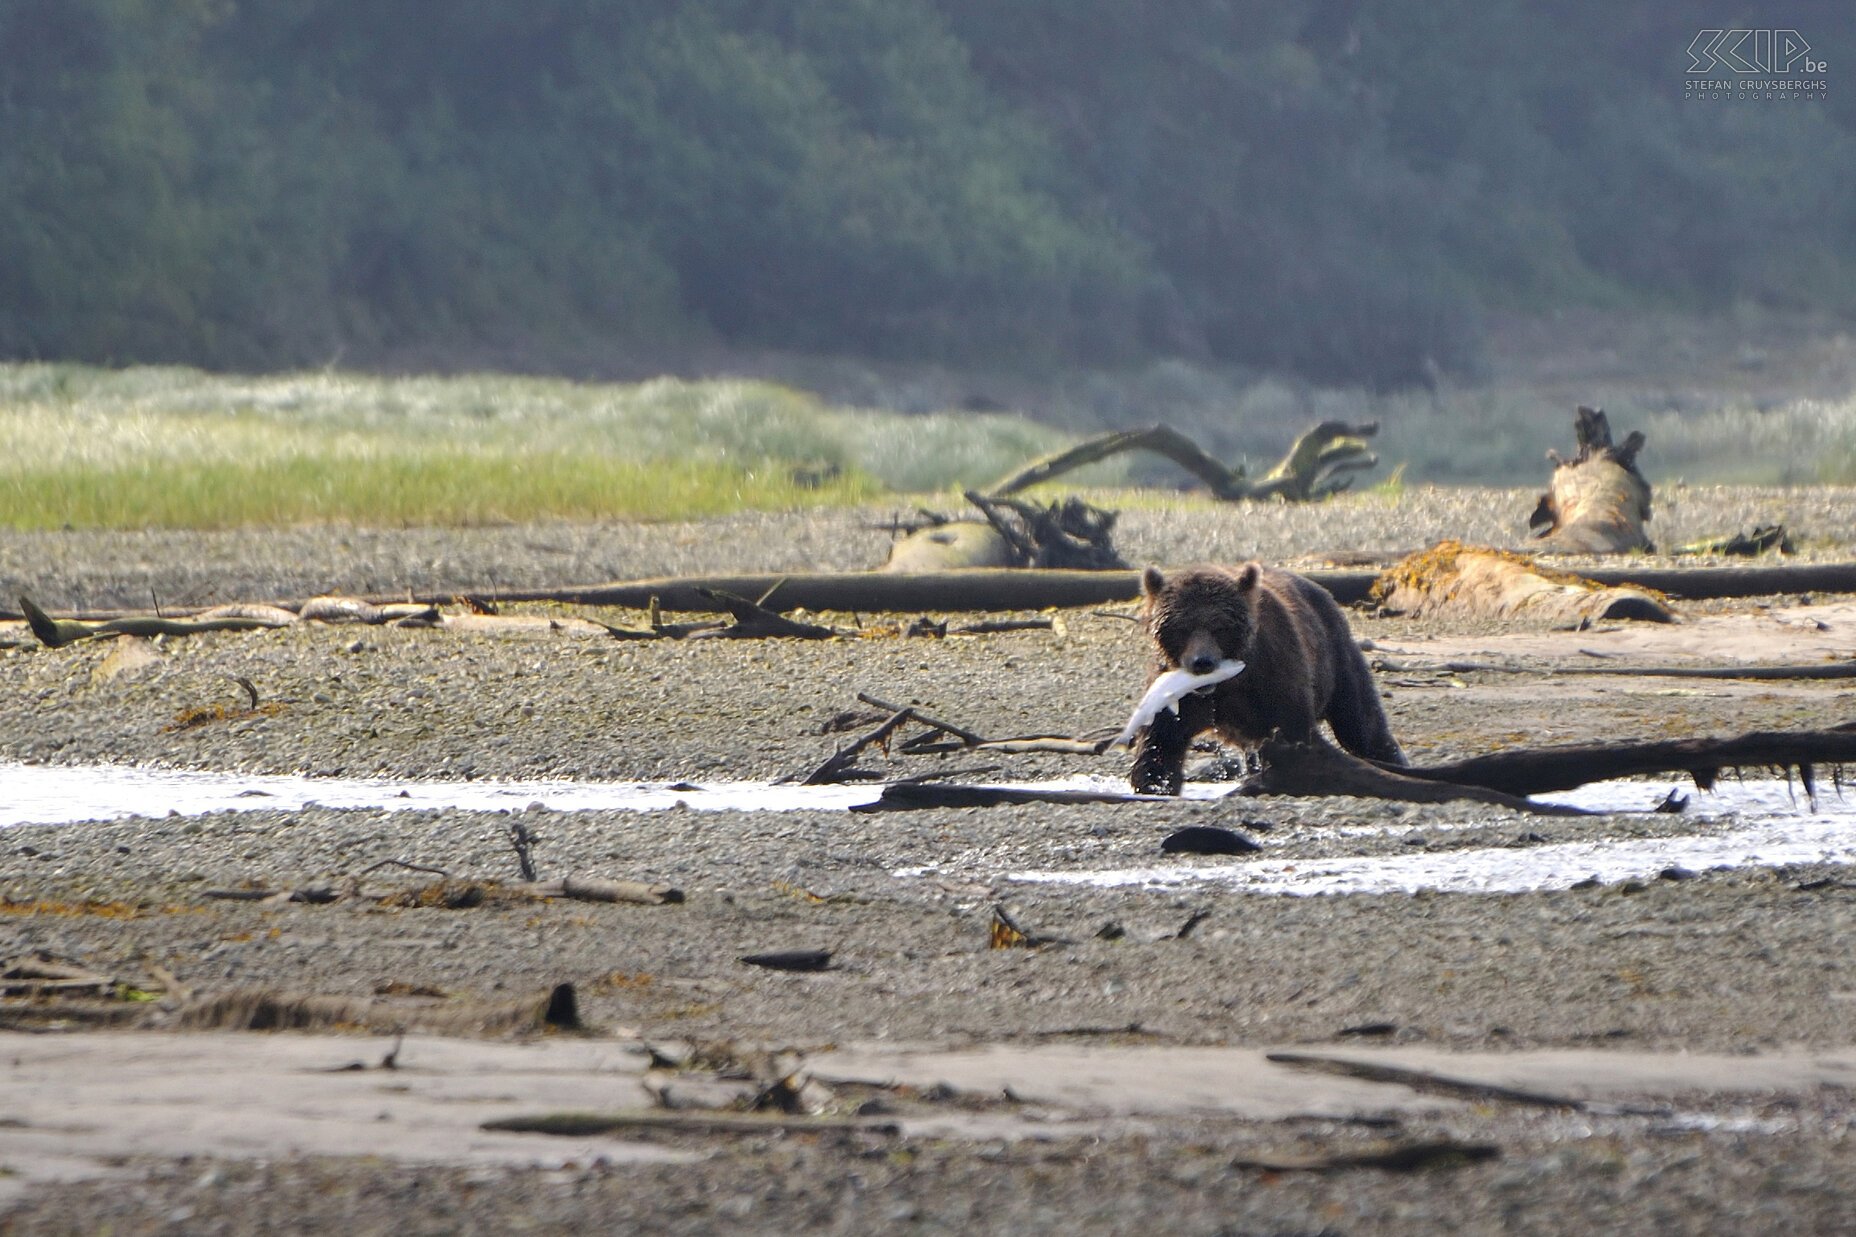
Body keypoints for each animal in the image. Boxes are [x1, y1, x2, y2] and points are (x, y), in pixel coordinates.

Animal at [1128, 557, 1403, 791]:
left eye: (1220, 628)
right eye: (1181, 628)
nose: (1202, 662)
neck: (1226, 684)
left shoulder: (1274, 676)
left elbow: (1294, 730)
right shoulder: (1173, 694)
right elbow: (1160, 743)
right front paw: (1155, 782)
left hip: (1336, 657)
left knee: (1361, 722)